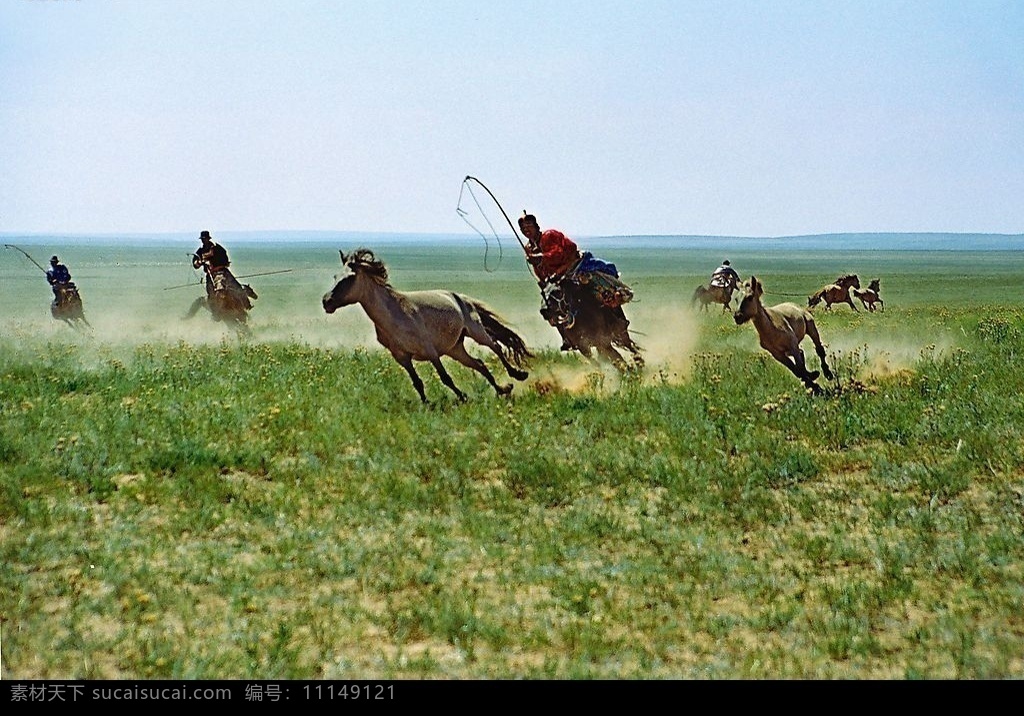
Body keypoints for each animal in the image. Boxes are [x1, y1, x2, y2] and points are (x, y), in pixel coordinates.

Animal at [321, 248, 532, 403]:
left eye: (349, 277)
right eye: (335, 276)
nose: (326, 301)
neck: (395, 316)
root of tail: (460, 297)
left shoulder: (430, 351)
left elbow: (445, 377)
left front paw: (462, 397)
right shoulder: (402, 357)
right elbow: (417, 382)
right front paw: (427, 404)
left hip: (476, 332)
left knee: (495, 347)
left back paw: (518, 375)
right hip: (455, 348)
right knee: (479, 364)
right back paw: (503, 390)